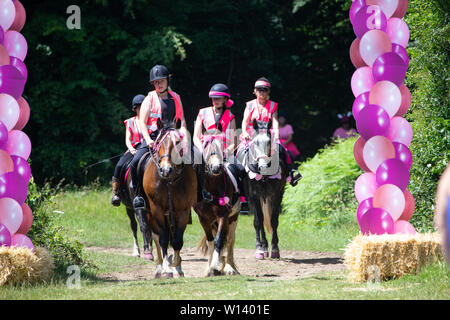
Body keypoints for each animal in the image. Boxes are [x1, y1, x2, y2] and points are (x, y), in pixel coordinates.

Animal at [142, 117, 196, 278]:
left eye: (177, 142)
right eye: (159, 142)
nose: (166, 170)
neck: (169, 181)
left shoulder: (183, 211)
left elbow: (177, 240)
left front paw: (177, 267)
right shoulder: (157, 210)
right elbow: (163, 239)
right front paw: (167, 269)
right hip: (150, 214)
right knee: (156, 237)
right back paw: (160, 268)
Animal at [195, 129, 241, 276]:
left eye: (221, 146)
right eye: (205, 146)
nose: (216, 167)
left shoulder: (223, 215)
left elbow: (219, 239)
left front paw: (216, 265)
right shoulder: (203, 218)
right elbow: (211, 241)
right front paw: (210, 268)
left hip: (233, 218)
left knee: (230, 240)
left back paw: (230, 267)